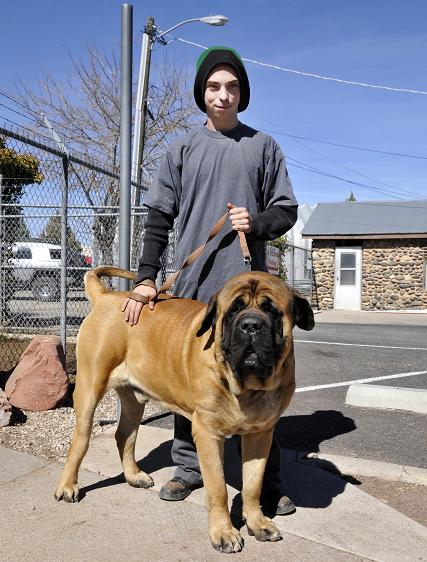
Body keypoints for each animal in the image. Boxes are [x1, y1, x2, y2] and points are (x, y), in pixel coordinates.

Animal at [55, 266, 314, 552]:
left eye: (271, 310)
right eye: (234, 310)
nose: (250, 325)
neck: (247, 386)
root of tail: (105, 296)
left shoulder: (260, 435)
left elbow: (253, 485)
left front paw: (258, 523)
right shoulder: (208, 434)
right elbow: (218, 488)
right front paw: (223, 532)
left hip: (133, 400)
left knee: (125, 436)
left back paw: (134, 476)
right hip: (90, 387)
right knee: (80, 441)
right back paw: (68, 486)